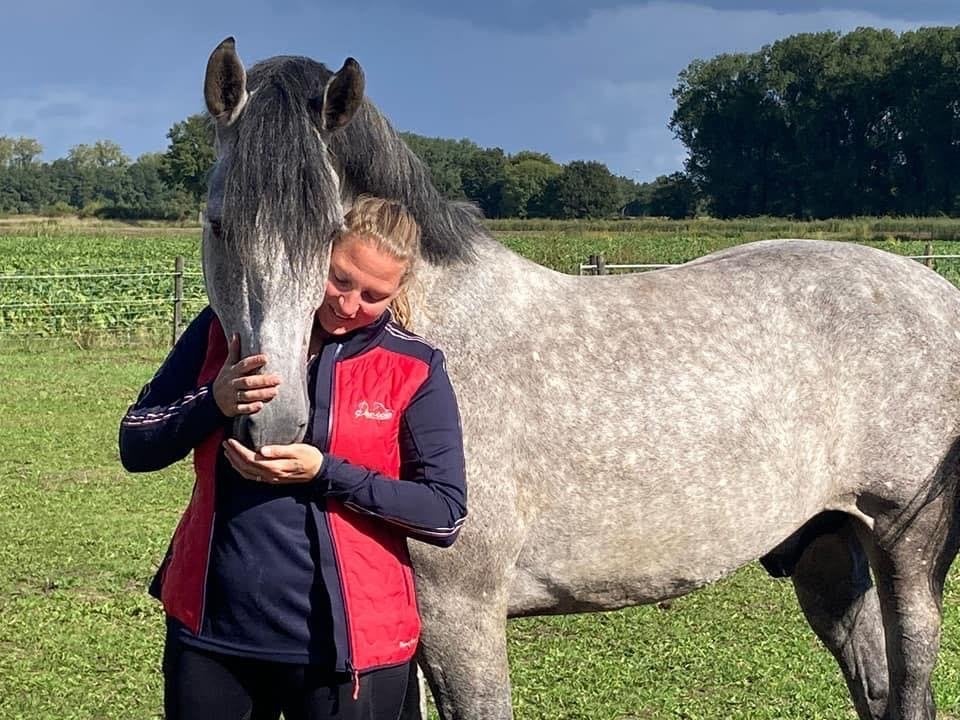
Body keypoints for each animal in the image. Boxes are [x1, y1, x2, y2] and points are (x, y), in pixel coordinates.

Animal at [198, 37, 960, 720]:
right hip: (827, 548)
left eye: (330, 232)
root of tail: (936, 293)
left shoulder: (461, 612)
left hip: (906, 549)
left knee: (911, 677)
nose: (272, 422)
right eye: (218, 225)